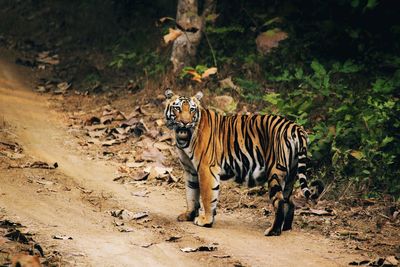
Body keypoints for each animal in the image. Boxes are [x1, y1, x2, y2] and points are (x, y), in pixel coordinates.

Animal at [164, 90, 324, 237]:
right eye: (177, 108)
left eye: (192, 109)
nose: (185, 122)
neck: (184, 137)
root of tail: (296, 127)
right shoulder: (190, 170)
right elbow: (191, 194)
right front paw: (189, 215)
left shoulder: (206, 168)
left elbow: (207, 195)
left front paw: (206, 220)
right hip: (291, 174)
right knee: (289, 202)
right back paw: (286, 228)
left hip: (275, 172)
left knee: (279, 202)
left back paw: (273, 231)